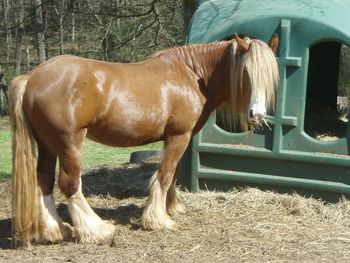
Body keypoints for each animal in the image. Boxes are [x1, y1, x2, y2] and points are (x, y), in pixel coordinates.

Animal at [8, 34, 278, 246]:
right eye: (246, 72)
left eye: (270, 75)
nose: (257, 114)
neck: (192, 75)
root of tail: (31, 78)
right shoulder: (179, 136)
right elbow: (165, 175)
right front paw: (158, 220)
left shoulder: (174, 138)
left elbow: (171, 174)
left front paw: (171, 208)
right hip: (69, 143)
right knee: (70, 185)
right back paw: (97, 230)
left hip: (47, 144)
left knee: (44, 181)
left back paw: (54, 230)